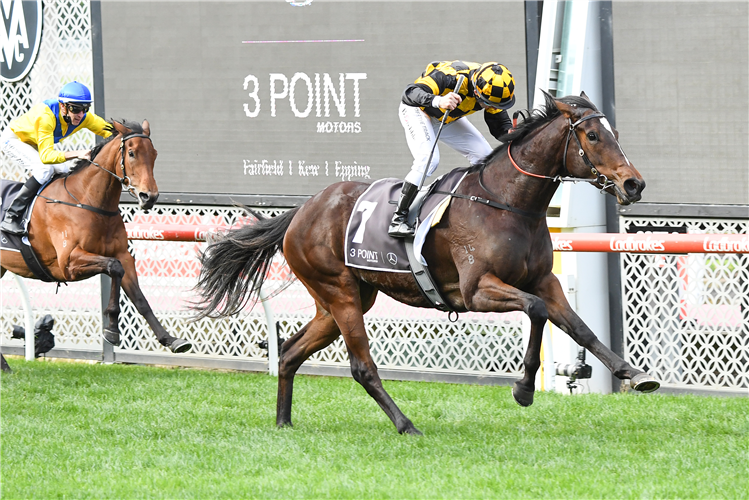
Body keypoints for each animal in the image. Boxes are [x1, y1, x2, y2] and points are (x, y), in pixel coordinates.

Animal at [1, 118, 193, 372]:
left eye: (154, 154)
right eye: (131, 153)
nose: (149, 197)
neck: (88, 200)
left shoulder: (124, 255)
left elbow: (140, 298)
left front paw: (171, 340)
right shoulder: (68, 263)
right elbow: (113, 267)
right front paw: (111, 330)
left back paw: (5, 367)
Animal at [194, 93, 660, 434]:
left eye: (615, 132)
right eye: (593, 136)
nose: (633, 184)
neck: (508, 203)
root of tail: (301, 211)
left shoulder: (545, 279)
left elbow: (578, 326)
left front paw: (634, 373)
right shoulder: (476, 290)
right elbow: (537, 310)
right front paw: (524, 389)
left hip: (341, 300)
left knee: (290, 352)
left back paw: (283, 422)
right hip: (339, 292)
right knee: (362, 367)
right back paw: (406, 425)